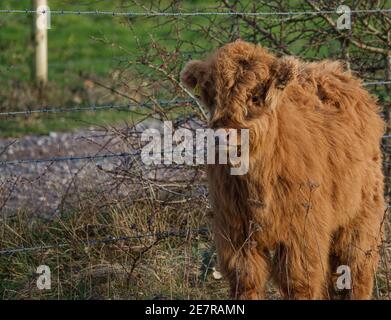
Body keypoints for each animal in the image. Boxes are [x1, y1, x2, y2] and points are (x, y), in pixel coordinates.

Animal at [182, 40, 388, 300]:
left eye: (255, 97)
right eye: (212, 97)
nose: (223, 135)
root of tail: (335, 71)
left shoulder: (301, 234)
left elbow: (299, 283)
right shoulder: (235, 234)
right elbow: (246, 280)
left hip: (361, 215)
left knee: (357, 268)